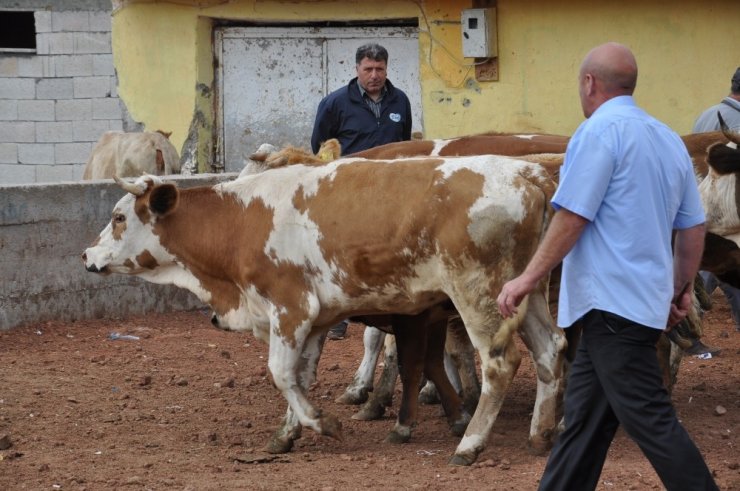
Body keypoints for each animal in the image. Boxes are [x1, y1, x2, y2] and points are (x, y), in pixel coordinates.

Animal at [82, 156, 568, 468]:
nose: (86, 255)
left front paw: (321, 423)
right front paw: (286, 433)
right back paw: (541, 434)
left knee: (500, 363)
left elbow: (280, 373)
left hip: (479, 293)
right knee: (550, 351)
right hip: (527, 292)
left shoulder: (290, 306)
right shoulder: (314, 321)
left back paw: (470, 444)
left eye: (119, 216)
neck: (241, 220)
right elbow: (301, 375)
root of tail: (529, 175)